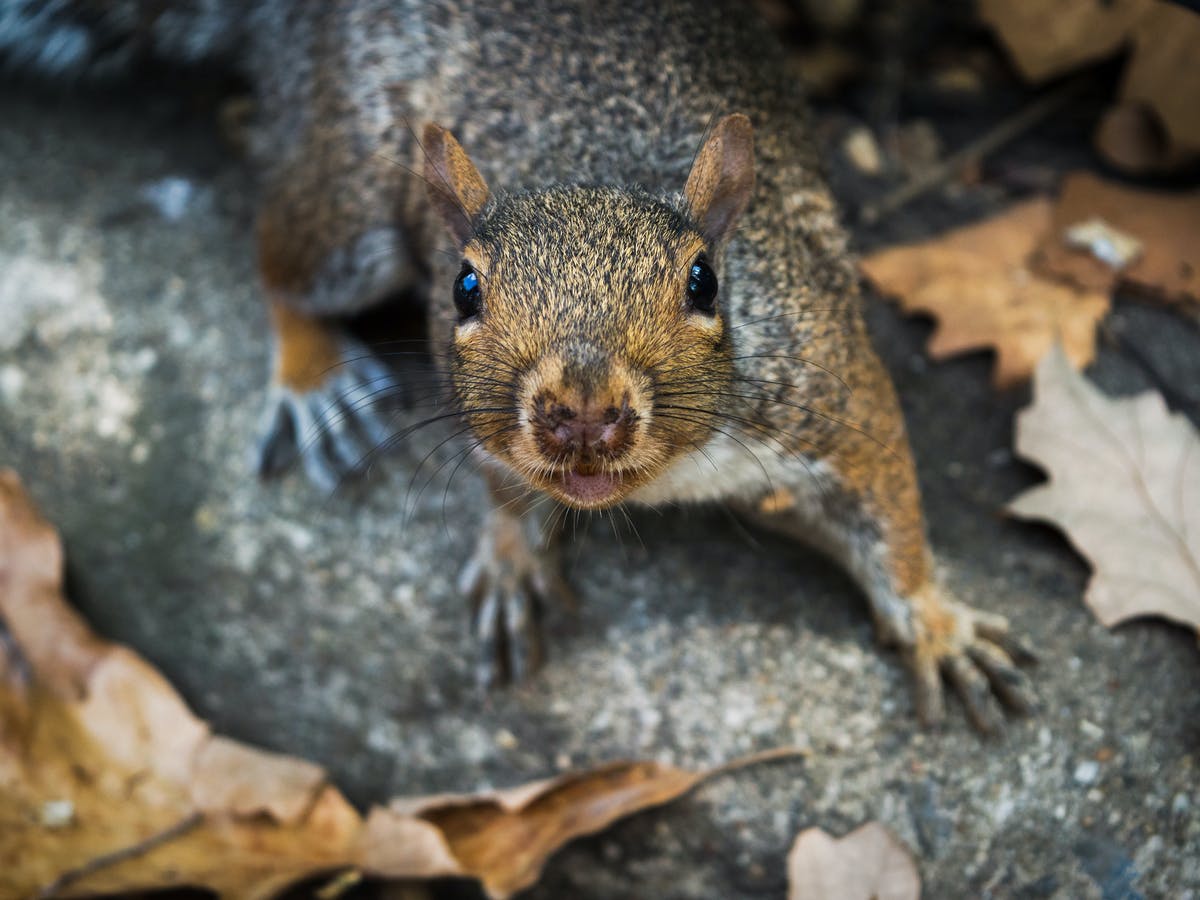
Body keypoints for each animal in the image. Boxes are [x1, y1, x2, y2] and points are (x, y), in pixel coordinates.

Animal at [0, 0, 1036, 734]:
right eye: (462, 288)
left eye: (705, 281)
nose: (580, 412)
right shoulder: (475, 413)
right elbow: (499, 487)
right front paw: (508, 557)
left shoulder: (827, 384)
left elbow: (891, 504)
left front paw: (938, 624)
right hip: (351, 192)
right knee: (281, 257)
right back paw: (315, 381)